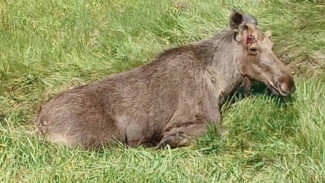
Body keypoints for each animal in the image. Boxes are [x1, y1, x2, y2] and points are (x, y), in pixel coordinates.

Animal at [37, 10, 294, 149]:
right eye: (253, 48)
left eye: (271, 43)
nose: (288, 83)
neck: (221, 82)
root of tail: (41, 123)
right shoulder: (191, 119)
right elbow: (221, 130)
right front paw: (170, 140)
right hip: (107, 138)